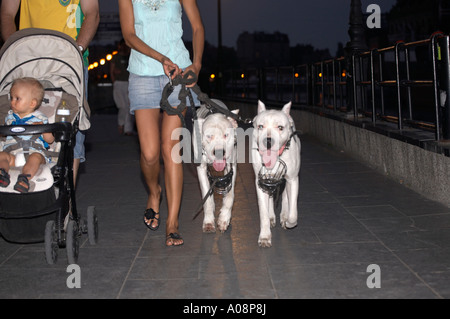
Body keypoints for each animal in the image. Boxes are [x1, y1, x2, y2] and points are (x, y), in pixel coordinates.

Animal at [192, 101, 239, 234]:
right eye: (209, 136)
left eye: (226, 135)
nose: (219, 152)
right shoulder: (201, 169)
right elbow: (206, 197)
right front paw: (208, 222)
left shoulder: (232, 167)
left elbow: (229, 196)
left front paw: (224, 219)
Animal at [251, 100, 300, 248]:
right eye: (260, 126)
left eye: (280, 127)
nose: (268, 140)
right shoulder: (260, 182)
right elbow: (263, 211)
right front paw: (265, 236)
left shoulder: (293, 179)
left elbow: (293, 212)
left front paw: (289, 221)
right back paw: (272, 216)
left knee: (285, 197)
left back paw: (283, 215)